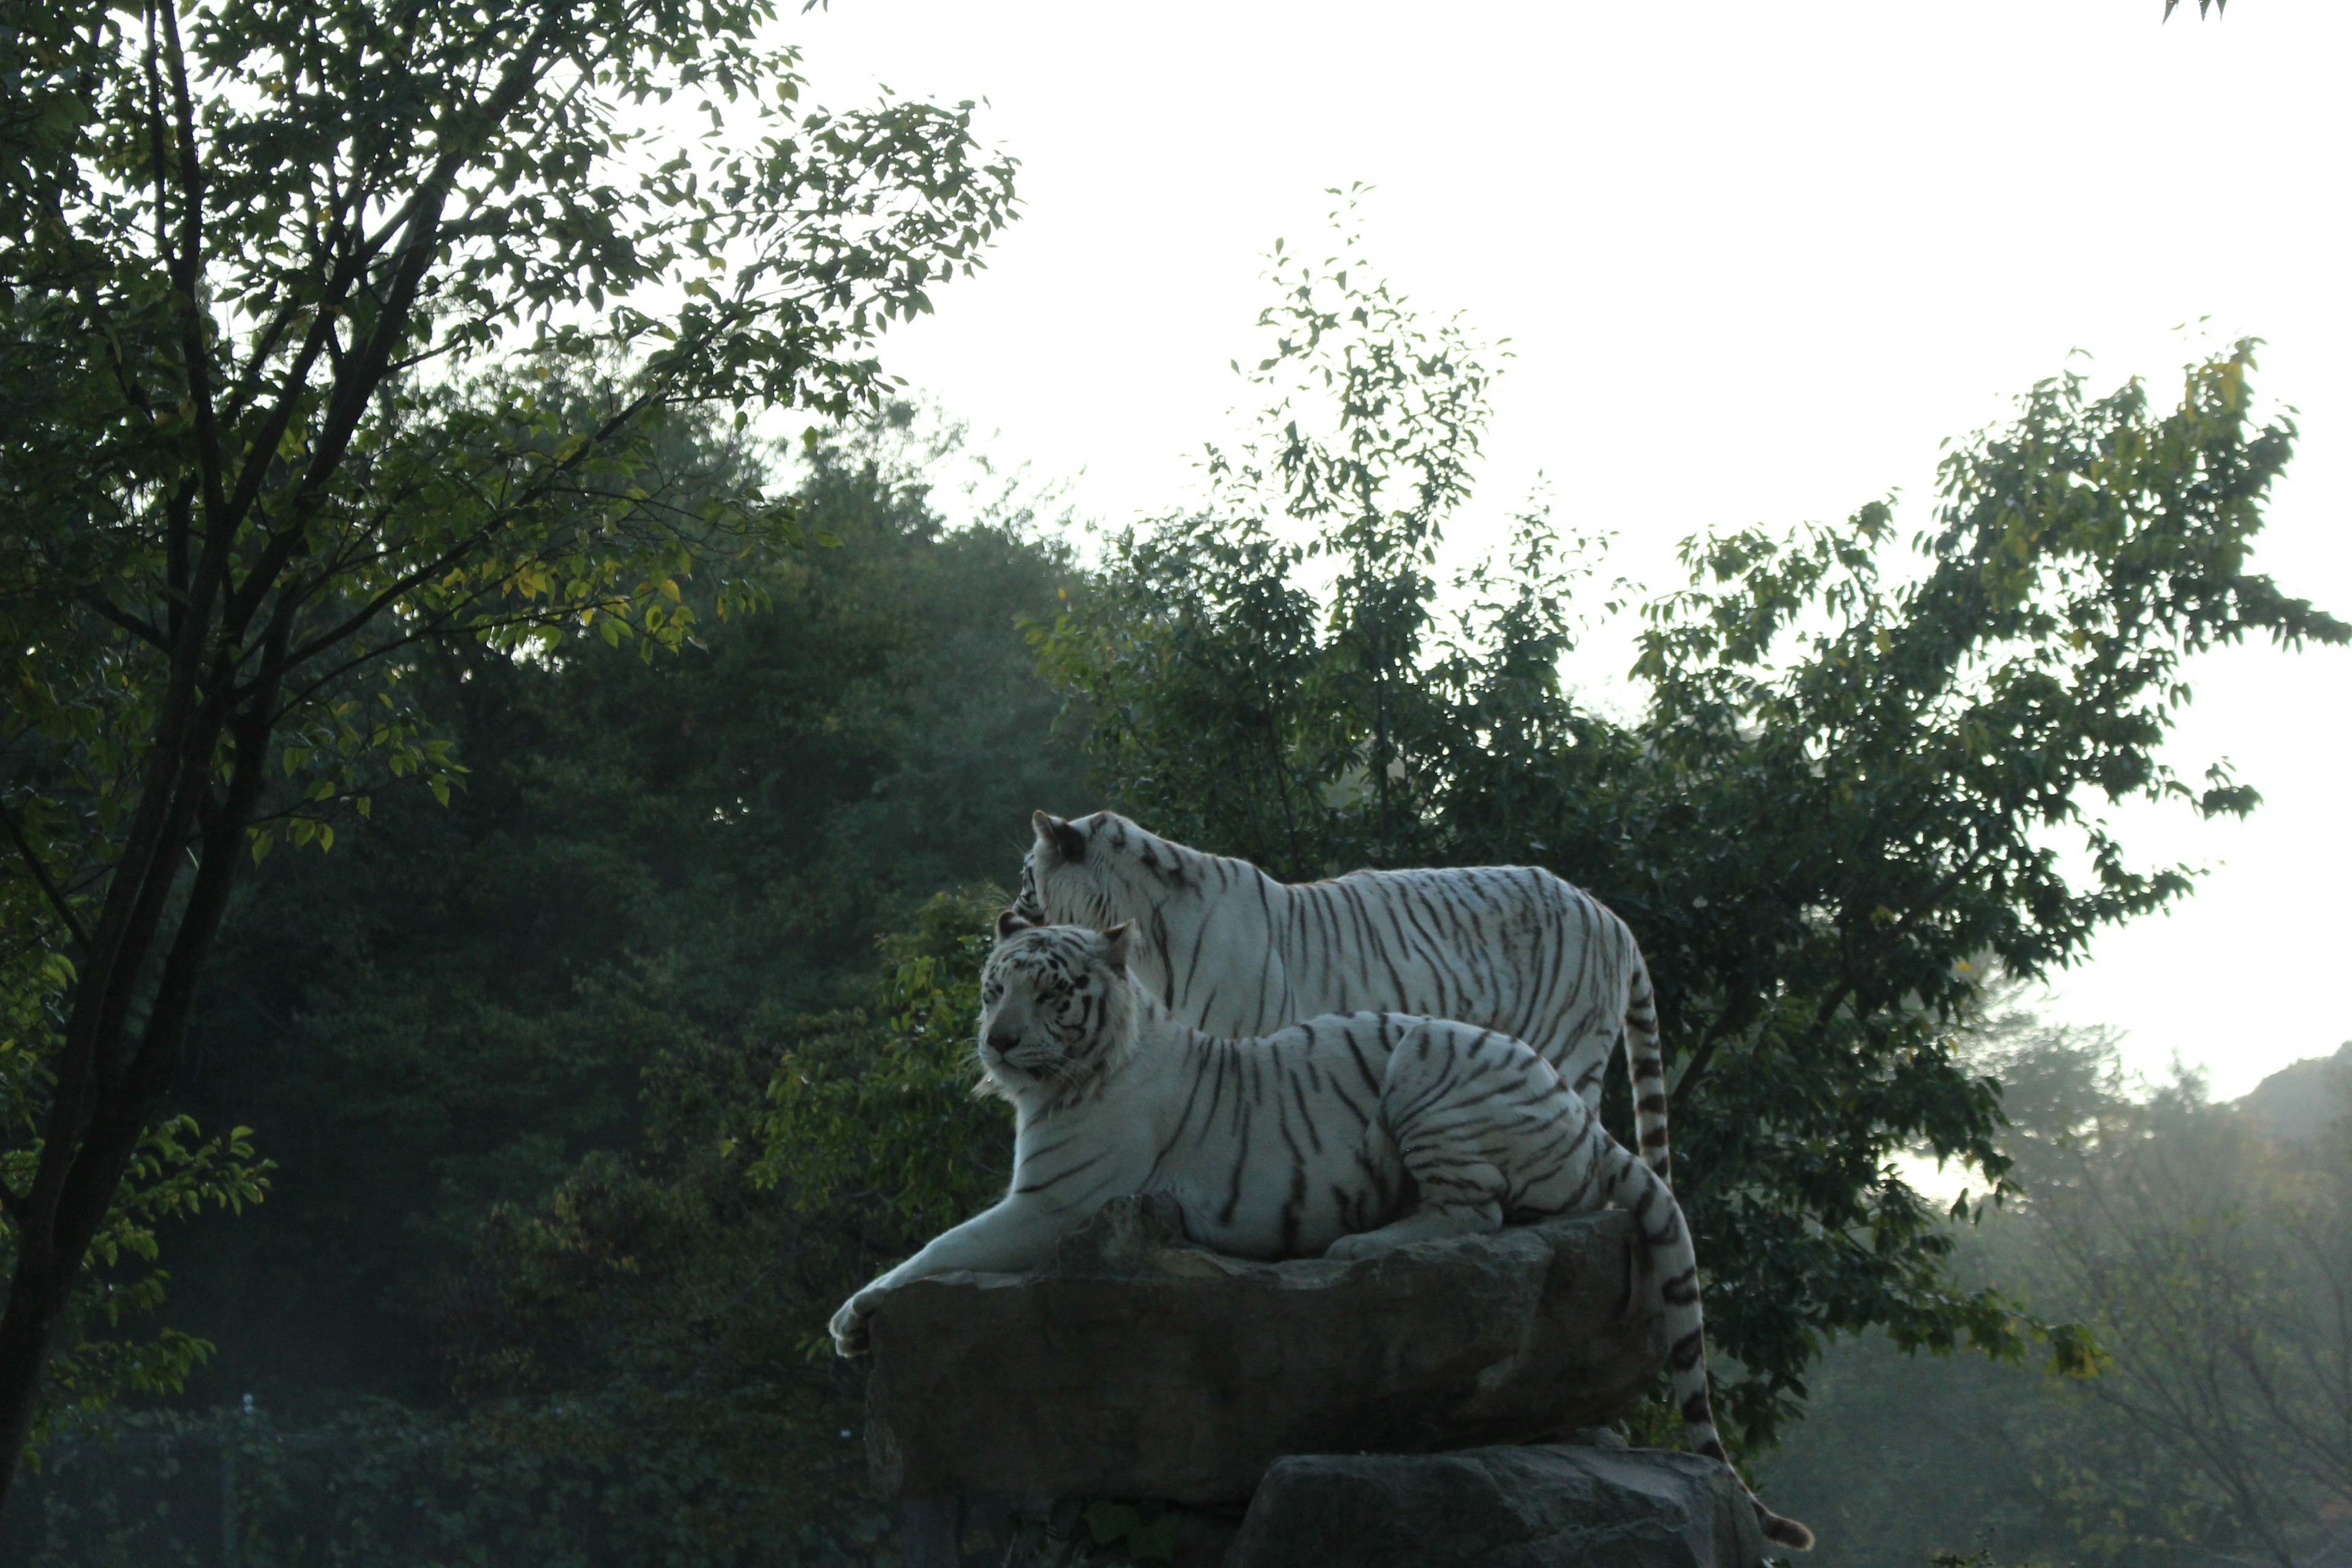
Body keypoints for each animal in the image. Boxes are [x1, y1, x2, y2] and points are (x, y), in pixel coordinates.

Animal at [827, 921, 1815, 1561]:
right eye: (995, 987)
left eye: (1050, 993)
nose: (997, 1041)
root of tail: (1583, 1116)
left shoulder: (1053, 1204)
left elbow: (939, 1249)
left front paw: (853, 1318)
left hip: (1425, 1066)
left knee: (1478, 1216)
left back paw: (1358, 1248)